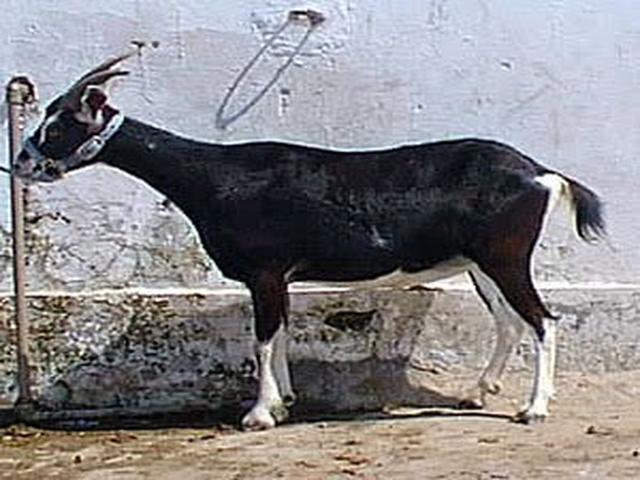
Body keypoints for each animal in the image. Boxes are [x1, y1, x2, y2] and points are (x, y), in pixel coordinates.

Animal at [14, 53, 605, 430]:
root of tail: (543, 174)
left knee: (542, 321)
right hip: (480, 263)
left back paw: (533, 410)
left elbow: (262, 338)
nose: (20, 162)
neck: (215, 176)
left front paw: (258, 415)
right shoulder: (277, 276)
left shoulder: (265, 269)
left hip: (505, 256)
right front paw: (285, 402)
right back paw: (477, 393)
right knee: (509, 322)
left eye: (58, 125)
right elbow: (278, 333)